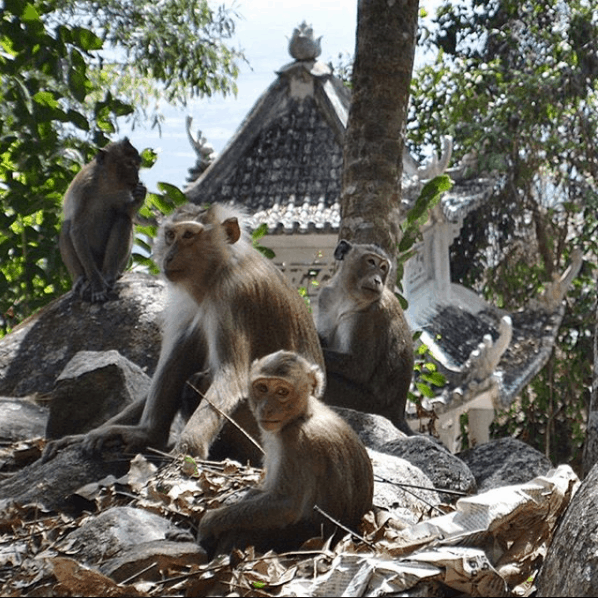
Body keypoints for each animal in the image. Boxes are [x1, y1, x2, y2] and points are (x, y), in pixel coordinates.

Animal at [44, 204, 326, 462]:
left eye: (189, 235)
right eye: (170, 235)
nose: (169, 256)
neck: (222, 267)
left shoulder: (232, 294)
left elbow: (231, 377)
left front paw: (188, 449)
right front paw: (84, 435)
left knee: (202, 379)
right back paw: (147, 434)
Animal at [198, 352, 376, 556]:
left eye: (282, 392)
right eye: (262, 388)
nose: (266, 408)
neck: (302, 414)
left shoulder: (296, 443)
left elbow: (285, 505)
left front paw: (210, 522)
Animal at [318, 239, 418, 436]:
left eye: (383, 267)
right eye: (371, 262)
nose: (378, 280)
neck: (346, 294)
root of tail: (398, 414)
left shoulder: (369, 314)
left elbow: (359, 367)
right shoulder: (325, 297)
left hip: (365, 403)